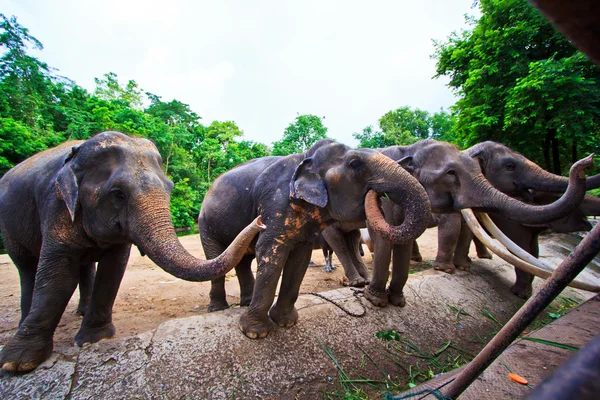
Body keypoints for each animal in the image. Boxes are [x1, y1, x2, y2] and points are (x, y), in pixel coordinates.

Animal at [0, 131, 264, 372]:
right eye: (117, 194)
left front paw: (94, 339)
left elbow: (113, 269)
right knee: (27, 268)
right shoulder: (56, 205)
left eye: (170, 188)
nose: (259, 221)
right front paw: (18, 363)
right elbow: (59, 274)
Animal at [200, 139, 432, 340]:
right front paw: (255, 333)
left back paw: (245, 303)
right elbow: (270, 252)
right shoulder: (275, 203)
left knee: (243, 260)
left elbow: (300, 258)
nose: (377, 194)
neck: (305, 157)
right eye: (355, 164)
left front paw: (286, 322)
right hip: (206, 225)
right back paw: (217, 308)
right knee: (216, 258)